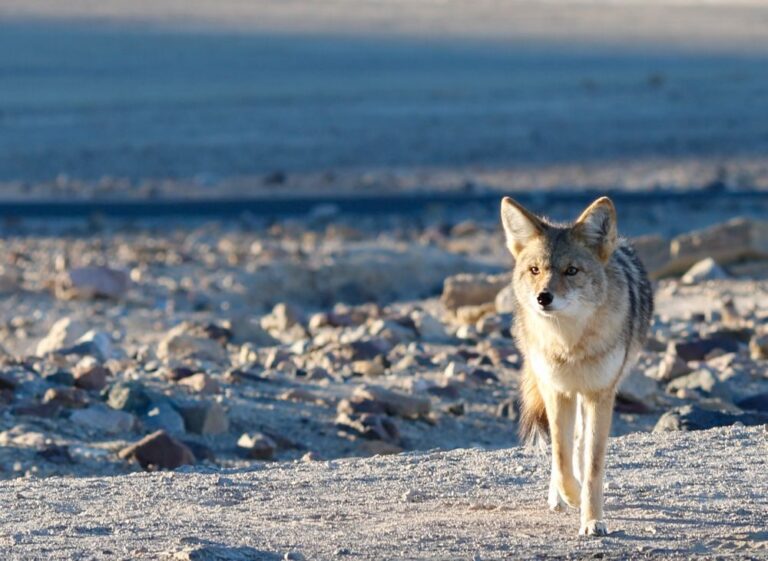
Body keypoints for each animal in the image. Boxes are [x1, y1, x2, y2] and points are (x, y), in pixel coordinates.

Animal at [499, 196, 653, 537]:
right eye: (535, 270)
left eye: (571, 271)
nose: (543, 298)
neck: (570, 345)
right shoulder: (558, 392)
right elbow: (561, 456)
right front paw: (570, 495)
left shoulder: (600, 394)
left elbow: (592, 465)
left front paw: (592, 519)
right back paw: (557, 497)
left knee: (582, 443)